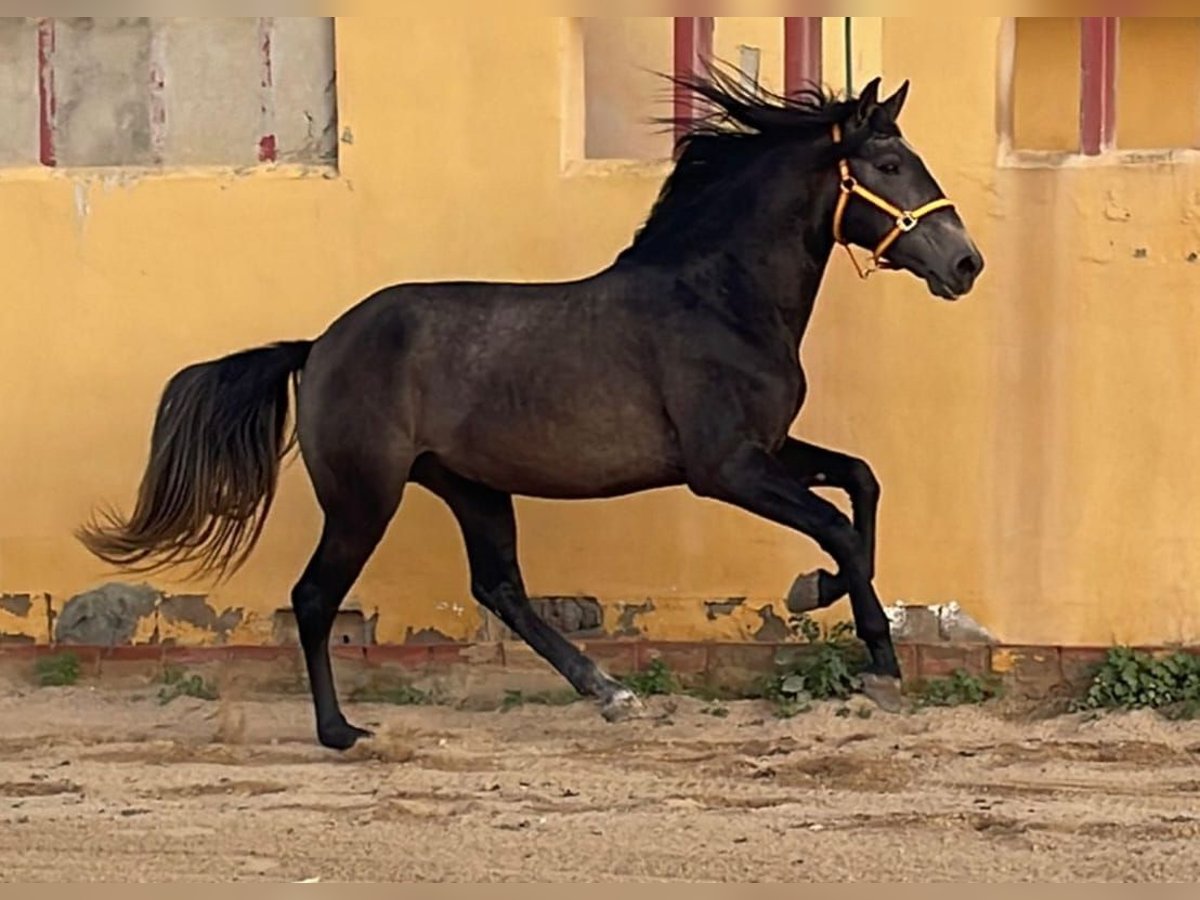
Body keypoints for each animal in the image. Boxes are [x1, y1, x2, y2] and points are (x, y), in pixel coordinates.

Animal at [82, 68, 984, 753]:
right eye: (890, 163)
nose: (966, 263)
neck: (719, 298)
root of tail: (319, 345)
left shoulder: (771, 445)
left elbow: (861, 483)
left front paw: (817, 593)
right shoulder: (725, 467)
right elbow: (836, 524)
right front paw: (878, 662)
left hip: (471, 487)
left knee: (501, 588)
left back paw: (610, 692)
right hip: (365, 496)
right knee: (315, 597)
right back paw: (342, 732)